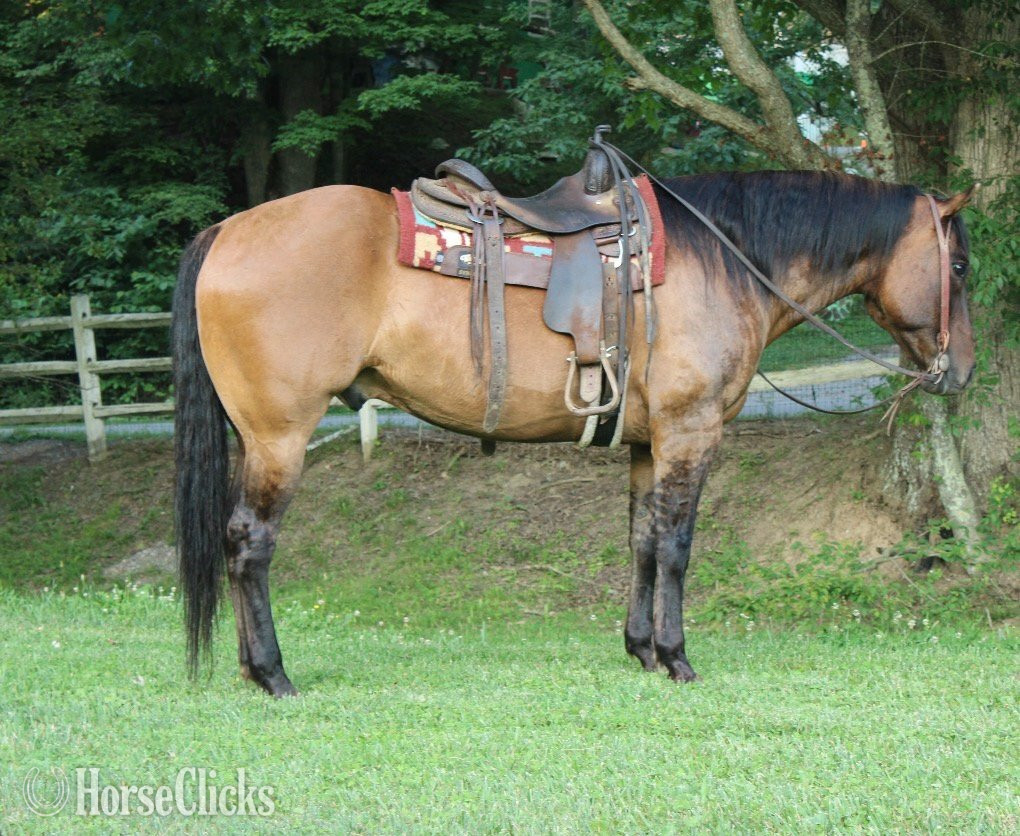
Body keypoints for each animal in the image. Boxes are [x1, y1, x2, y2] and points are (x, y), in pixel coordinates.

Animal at [172, 168, 975, 696]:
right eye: (959, 264)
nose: (961, 370)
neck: (722, 259)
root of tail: (226, 230)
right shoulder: (690, 435)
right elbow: (678, 548)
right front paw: (677, 658)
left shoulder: (649, 445)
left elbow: (644, 543)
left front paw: (641, 650)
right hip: (280, 436)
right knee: (249, 543)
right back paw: (272, 674)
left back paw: (250, 669)